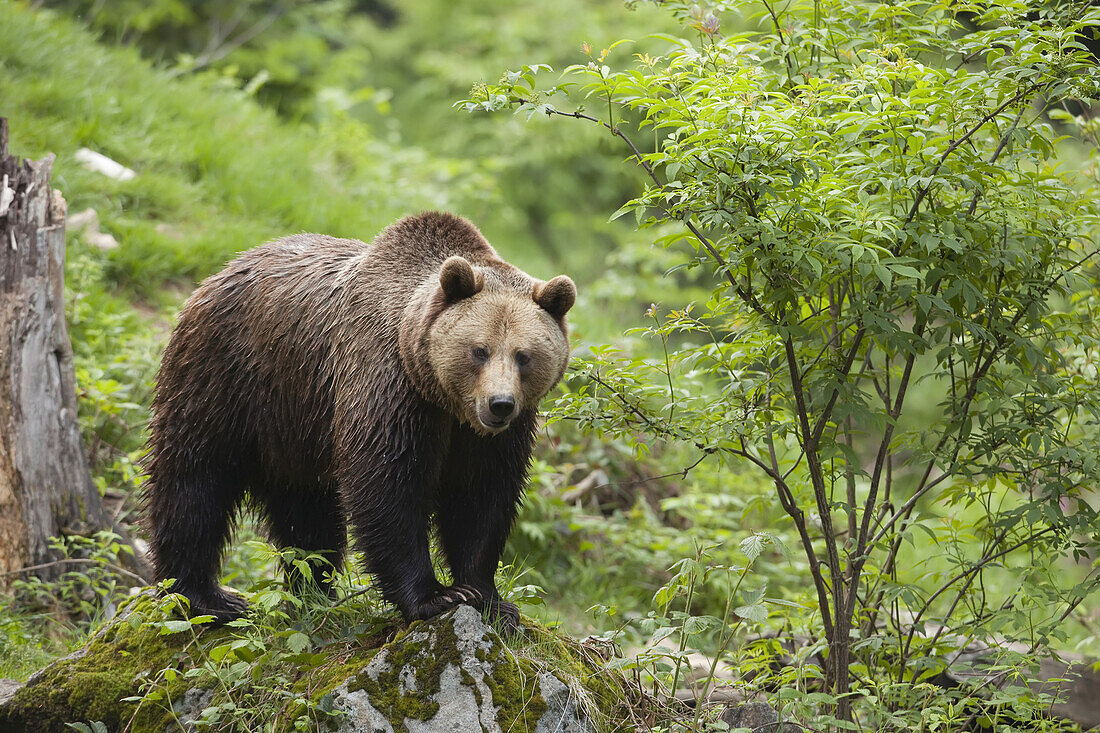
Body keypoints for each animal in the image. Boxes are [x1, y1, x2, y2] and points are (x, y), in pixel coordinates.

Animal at [144, 211, 576, 629]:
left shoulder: (489, 438)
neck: (441, 398)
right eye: (479, 350)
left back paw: (313, 593)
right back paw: (205, 597)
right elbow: (388, 485)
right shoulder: (386, 386)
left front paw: (489, 599)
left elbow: (481, 497)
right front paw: (434, 596)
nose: (499, 404)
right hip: (228, 376)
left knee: (307, 511)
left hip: (295, 424)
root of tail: (220, 271)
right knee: (195, 481)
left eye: (524, 355)